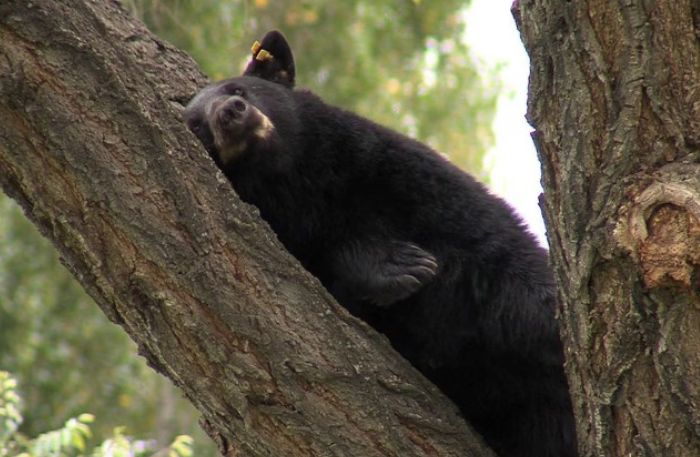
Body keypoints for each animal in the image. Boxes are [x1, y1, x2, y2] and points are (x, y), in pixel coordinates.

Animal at [184, 30, 577, 457]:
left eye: (239, 89)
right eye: (197, 127)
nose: (230, 112)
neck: (298, 183)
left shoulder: (400, 175)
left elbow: (502, 261)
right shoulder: (299, 236)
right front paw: (401, 267)